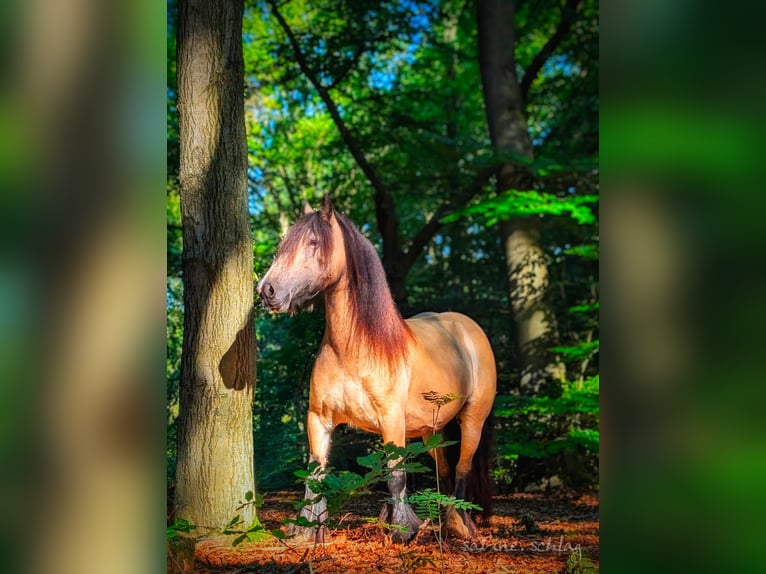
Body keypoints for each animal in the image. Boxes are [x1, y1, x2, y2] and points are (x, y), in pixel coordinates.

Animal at [258, 198, 498, 544]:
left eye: (313, 242)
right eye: (283, 243)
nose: (267, 290)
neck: (352, 349)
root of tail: (469, 328)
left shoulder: (392, 422)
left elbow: (396, 475)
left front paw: (402, 530)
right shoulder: (318, 419)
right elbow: (315, 475)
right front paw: (307, 530)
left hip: (472, 421)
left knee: (463, 467)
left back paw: (458, 525)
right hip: (432, 431)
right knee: (444, 470)